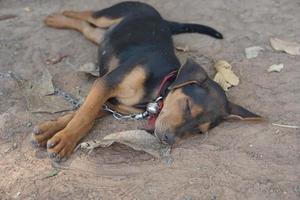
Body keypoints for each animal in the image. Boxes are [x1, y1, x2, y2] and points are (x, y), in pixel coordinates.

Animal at [29, 1, 262, 161]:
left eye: (199, 131)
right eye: (187, 106)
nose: (168, 139)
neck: (156, 91)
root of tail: (160, 18)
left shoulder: (114, 104)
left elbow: (83, 113)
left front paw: (50, 132)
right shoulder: (105, 84)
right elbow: (84, 115)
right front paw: (65, 140)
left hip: (101, 35)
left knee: (87, 27)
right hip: (111, 14)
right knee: (87, 14)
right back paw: (58, 17)